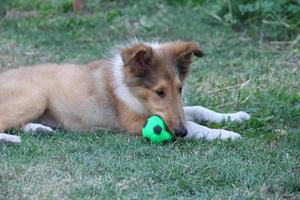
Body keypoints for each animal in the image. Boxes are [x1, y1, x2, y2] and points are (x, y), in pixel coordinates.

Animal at [0, 41, 248, 144]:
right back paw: (12, 139)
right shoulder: (135, 121)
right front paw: (226, 134)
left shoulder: (172, 111)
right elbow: (195, 125)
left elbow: (198, 109)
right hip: (35, 96)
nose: (180, 133)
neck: (134, 91)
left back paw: (38, 129)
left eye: (179, 88)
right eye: (159, 91)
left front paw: (235, 116)